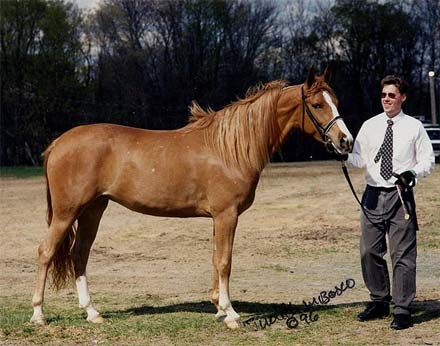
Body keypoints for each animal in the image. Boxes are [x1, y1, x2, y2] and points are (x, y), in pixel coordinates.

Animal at [31, 66, 354, 328]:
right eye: (316, 104)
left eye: (337, 101)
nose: (345, 142)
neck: (231, 148)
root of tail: (58, 143)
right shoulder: (227, 215)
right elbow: (225, 261)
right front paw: (231, 314)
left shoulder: (219, 218)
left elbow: (215, 257)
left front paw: (219, 307)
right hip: (67, 212)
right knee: (46, 252)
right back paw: (38, 315)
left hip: (93, 210)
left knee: (79, 254)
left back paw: (92, 313)